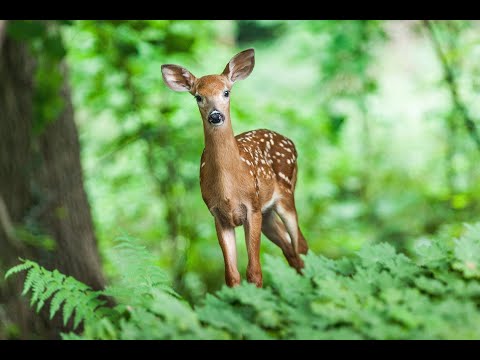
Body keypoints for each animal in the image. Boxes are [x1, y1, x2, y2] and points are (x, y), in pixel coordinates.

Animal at [161, 49, 310, 288]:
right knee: (290, 249)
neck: (229, 189)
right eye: (198, 96)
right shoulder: (218, 215)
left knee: (301, 245)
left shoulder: (252, 207)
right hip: (267, 213)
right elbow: (231, 275)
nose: (215, 116)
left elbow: (254, 272)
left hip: (285, 194)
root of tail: (290, 142)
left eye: (226, 92)